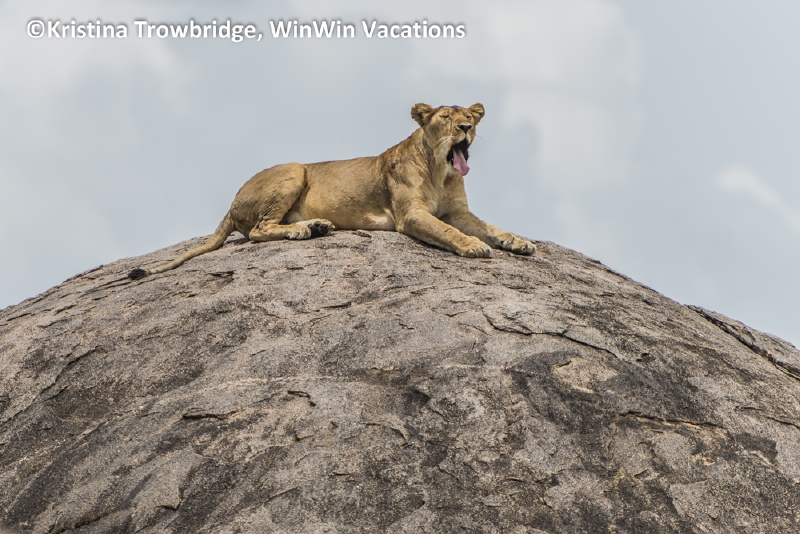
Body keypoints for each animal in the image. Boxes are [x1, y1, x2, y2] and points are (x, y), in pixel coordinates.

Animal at [128, 103, 535, 280]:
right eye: (446, 117)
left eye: (469, 116)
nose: (466, 128)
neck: (440, 170)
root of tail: (230, 204)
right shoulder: (411, 215)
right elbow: (448, 231)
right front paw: (473, 246)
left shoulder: (459, 210)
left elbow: (492, 227)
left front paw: (520, 242)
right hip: (294, 168)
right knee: (259, 229)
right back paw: (307, 229)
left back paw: (317, 226)